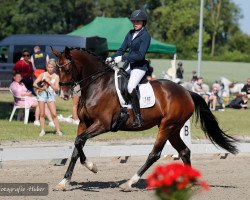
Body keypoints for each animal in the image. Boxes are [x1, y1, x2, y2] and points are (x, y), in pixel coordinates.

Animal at [51, 46, 238, 191]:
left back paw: (129, 183)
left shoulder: (102, 124)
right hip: (173, 129)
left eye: (67, 69)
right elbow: (77, 146)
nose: (64, 94)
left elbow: (79, 142)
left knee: (155, 154)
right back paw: (188, 182)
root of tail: (187, 92)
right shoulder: (84, 123)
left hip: (167, 126)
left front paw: (92, 167)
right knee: (184, 151)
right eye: (57, 69)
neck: (97, 85)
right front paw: (63, 182)